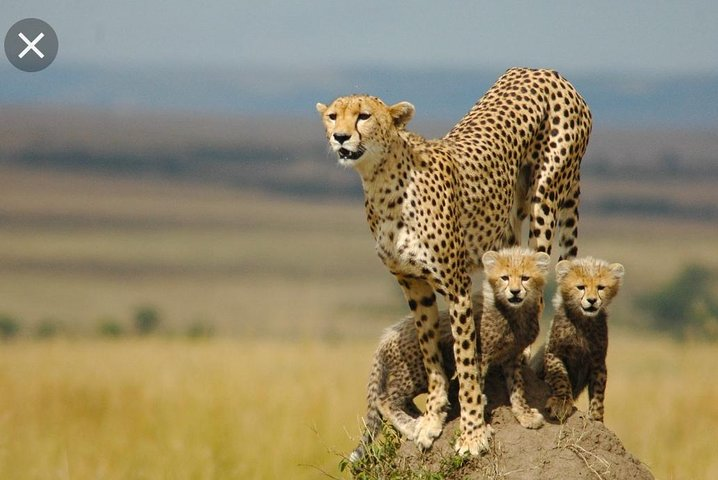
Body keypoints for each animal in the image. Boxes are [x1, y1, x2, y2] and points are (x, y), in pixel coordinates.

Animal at [349, 247, 550, 462]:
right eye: (504, 277)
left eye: (525, 278)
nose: (515, 291)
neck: (514, 312)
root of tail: (388, 335)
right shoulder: (481, 355)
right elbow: (474, 387)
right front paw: (480, 427)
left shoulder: (513, 357)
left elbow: (517, 388)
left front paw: (525, 414)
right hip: (416, 372)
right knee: (385, 399)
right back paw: (413, 427)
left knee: (404, 400)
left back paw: (427, 418)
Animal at [530, 256, 625, 423]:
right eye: (581, 287)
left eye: (601, 287)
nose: (592, 300)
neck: (583, 321)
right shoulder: (554, 353)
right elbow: (560, 378)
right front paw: (561, 403)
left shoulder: (598, 361)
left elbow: (599, 391)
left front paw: (596, 417)